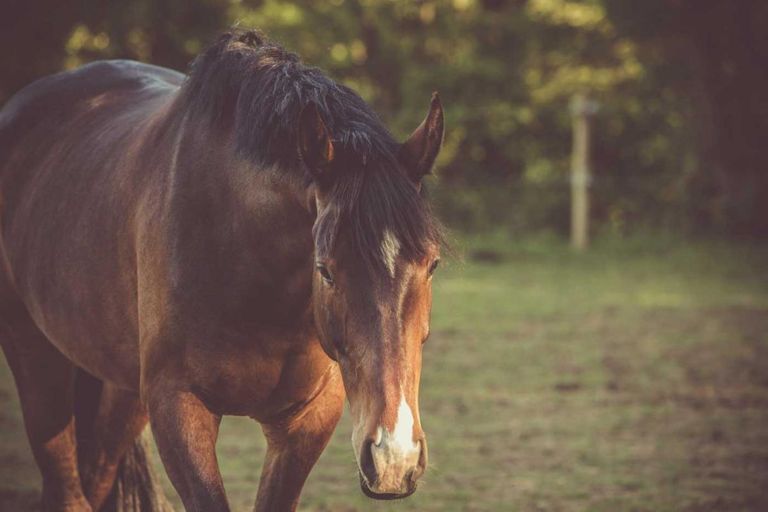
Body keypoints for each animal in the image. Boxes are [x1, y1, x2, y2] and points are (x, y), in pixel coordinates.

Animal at [0, 29, 444, 511]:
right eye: (325, 270)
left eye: (432, 264)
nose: (393, 458)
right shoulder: (178, 409)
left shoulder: (307, 419)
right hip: (35, 358)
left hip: (122, 392)